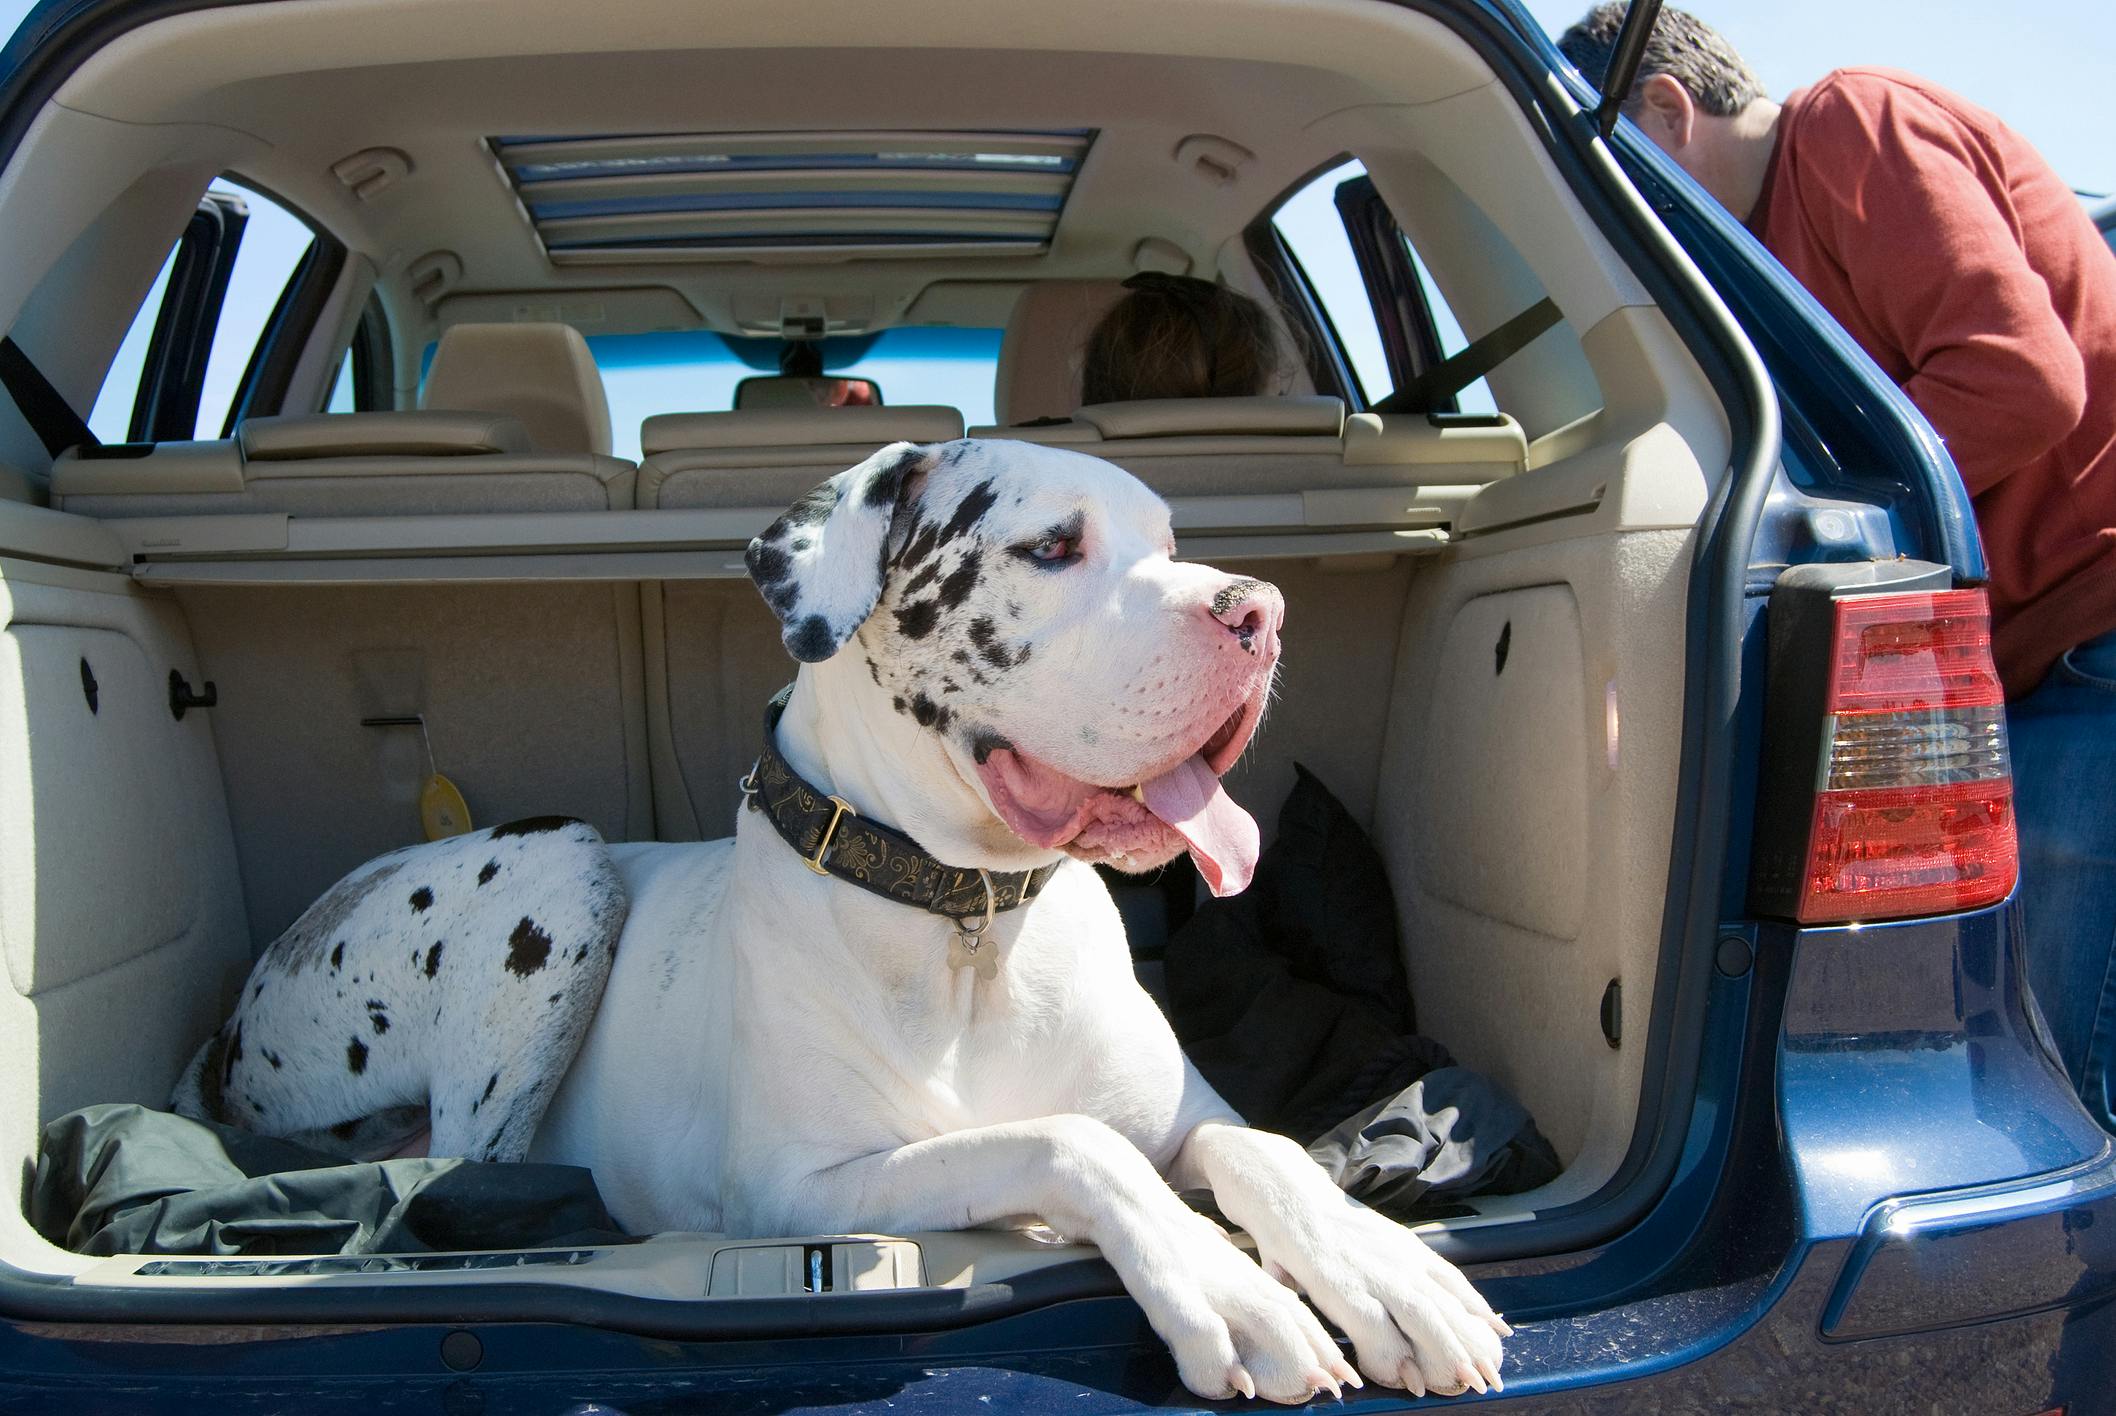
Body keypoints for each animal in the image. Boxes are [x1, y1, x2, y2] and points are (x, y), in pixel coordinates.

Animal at [177, 436, 1506, 1396]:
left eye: (1173, 542)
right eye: (1053, 545)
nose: (1257, 611)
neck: (971, 921)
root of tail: (229, 1029)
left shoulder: (1186, 1112)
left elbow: (1259, 1148)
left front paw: (1386, 1274)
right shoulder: (802, 1194)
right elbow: (1074, 1143)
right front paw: (1231, 1297)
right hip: (558, 869)